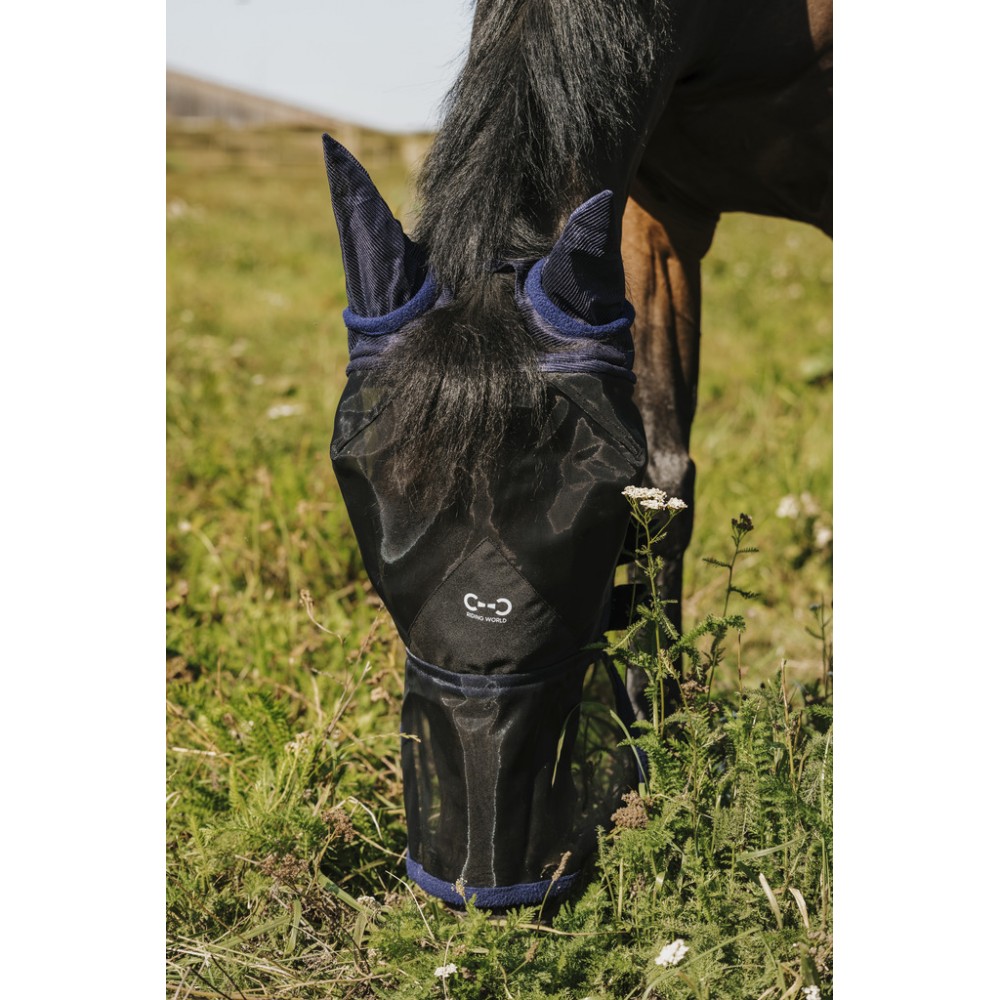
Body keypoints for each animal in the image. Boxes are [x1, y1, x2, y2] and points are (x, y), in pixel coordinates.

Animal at [322, 0, 832, 908]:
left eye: (583, 519)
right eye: (362, 489)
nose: (482, 879)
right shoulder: (655, 215)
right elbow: (668, 482)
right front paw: (662, 734)